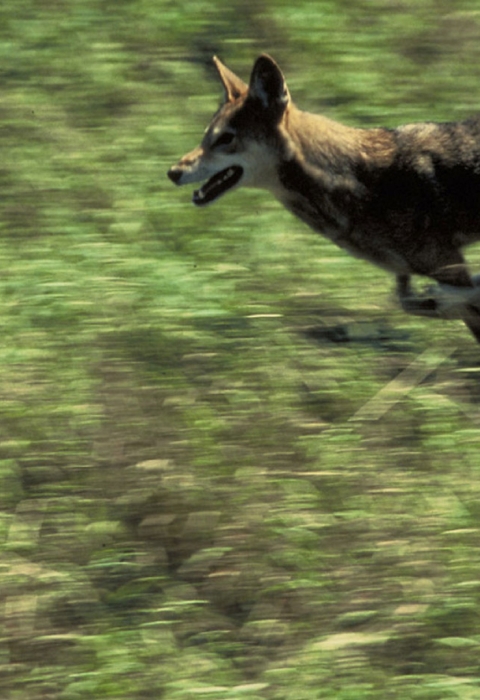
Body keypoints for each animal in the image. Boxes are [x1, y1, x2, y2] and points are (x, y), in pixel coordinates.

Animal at [168, 54, 480, 342]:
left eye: (225, 139)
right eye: (206, 137)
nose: (172, 172)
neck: (360, 180)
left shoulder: (449, 266)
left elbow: (456, 300)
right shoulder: (409, 273)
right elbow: (408, 301)